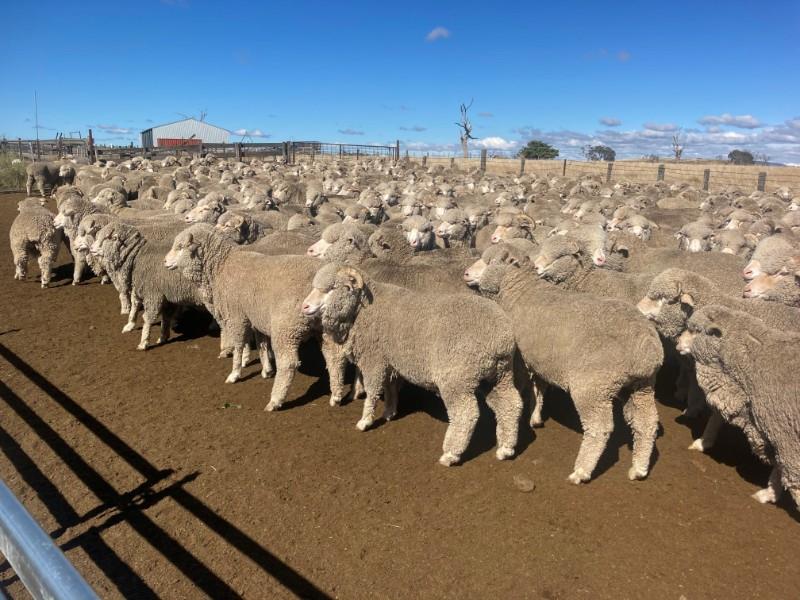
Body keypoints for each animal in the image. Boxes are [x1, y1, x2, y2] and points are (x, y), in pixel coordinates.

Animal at [300, 263, 523, 466]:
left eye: (331, 288)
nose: (304, 307)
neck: (365, 310)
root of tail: (501, 337)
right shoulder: (391, 361)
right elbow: (390, 388)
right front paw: (389, 412)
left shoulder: (374, 359)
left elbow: (372, 391)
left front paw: (365, 421)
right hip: (497, 375)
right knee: (510, 403)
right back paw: (506, 448)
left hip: (456, 378)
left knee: (465, 413)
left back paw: (451, 454)